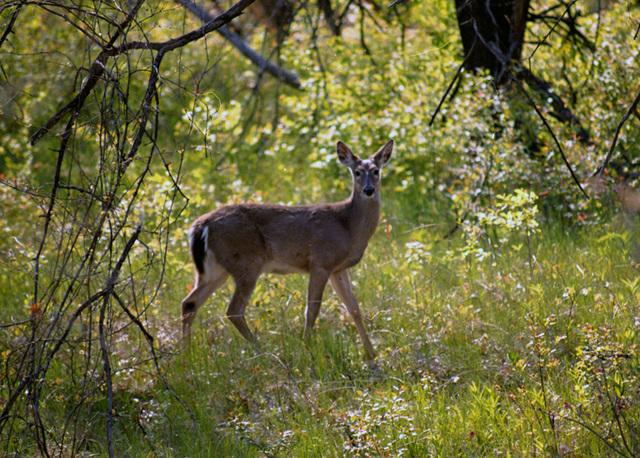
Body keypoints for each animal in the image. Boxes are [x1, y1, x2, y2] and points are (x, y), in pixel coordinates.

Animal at [179, 138, 390, 360]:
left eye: (376, 171)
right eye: (356, 172)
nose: (368, 190)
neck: (349, 226)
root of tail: (201, 226)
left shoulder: (338, 268)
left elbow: (354, 308)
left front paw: (372, 355)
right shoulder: (321, 261)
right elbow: (312, 309)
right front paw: (307, 349)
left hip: (215, 268)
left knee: (190, 303)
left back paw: (186, 354)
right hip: (246, 262)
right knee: (233, 309)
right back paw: (263, 351)